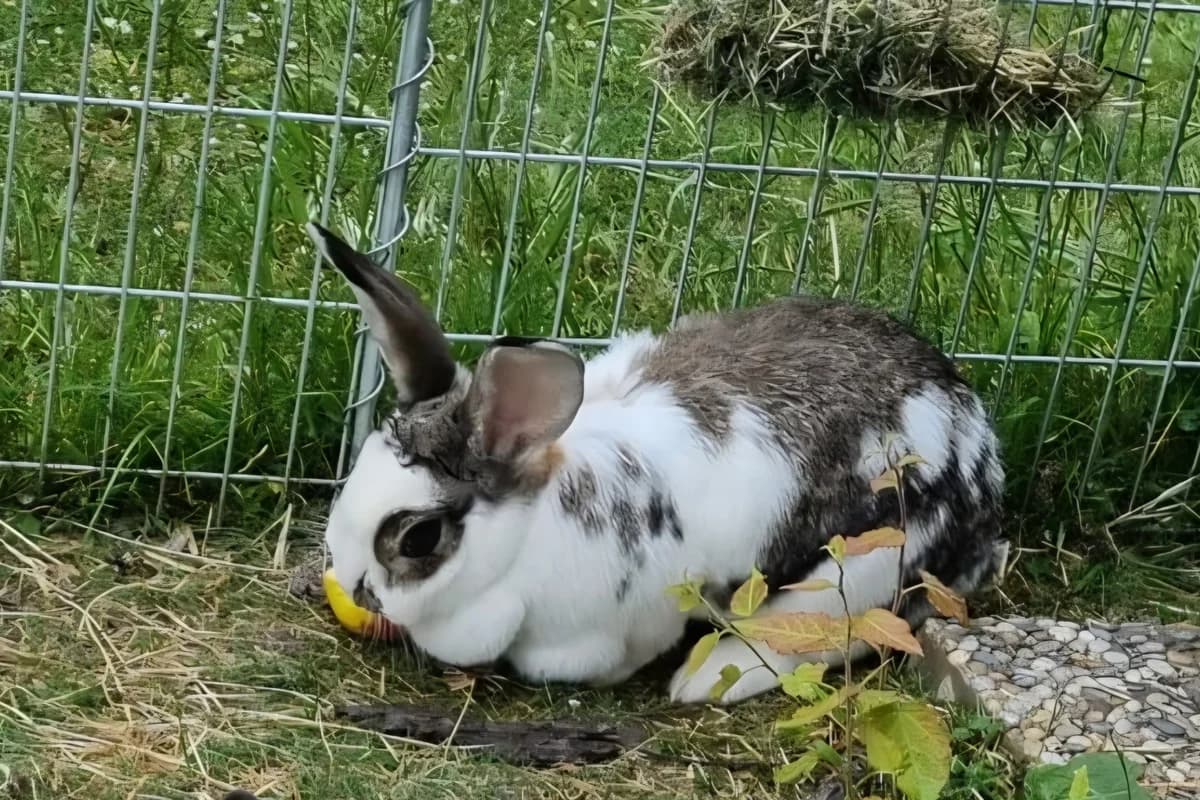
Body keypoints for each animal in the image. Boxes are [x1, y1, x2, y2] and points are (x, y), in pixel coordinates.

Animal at [307, 221, 1006, 705]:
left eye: (420, 536)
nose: (351, 580)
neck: (527, 538)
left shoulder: (628, 621)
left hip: (863, 565)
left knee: (835, 632)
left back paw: (707, 678)